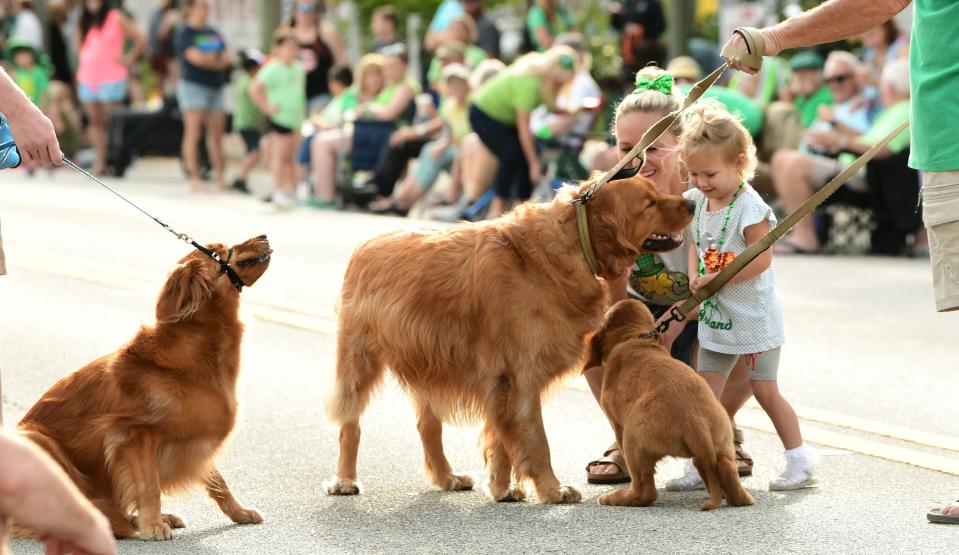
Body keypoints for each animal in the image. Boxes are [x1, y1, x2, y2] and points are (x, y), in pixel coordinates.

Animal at [15, 235, 274, 540]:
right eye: (218, 252)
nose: (264, 235)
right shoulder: (134, 434)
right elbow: (149, 486)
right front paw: (152, 525)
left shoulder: (195, 433)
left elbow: (219, 483)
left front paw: (239, 512)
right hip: (38, 441)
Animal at [326, 174, 692, 504]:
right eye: (650, 203)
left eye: (657, 190)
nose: (690, 202)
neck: (572, 239)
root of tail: (367, 243)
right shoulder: (520, 375)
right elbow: (536, 440)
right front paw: (552, 489)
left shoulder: (501, 381)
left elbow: (502, 440)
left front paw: (503, 488)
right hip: (359, 360)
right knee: (350, 426)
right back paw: (344, 480)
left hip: (430, 365)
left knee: (428, 427)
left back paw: (446, 477)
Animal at [588, 300, 752, 512]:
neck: (634, 338)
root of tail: (695, 422)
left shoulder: (617, 425)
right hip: (722, 446)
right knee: (732, 483)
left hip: (632, 439)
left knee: (645, 491)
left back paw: (615, 497)